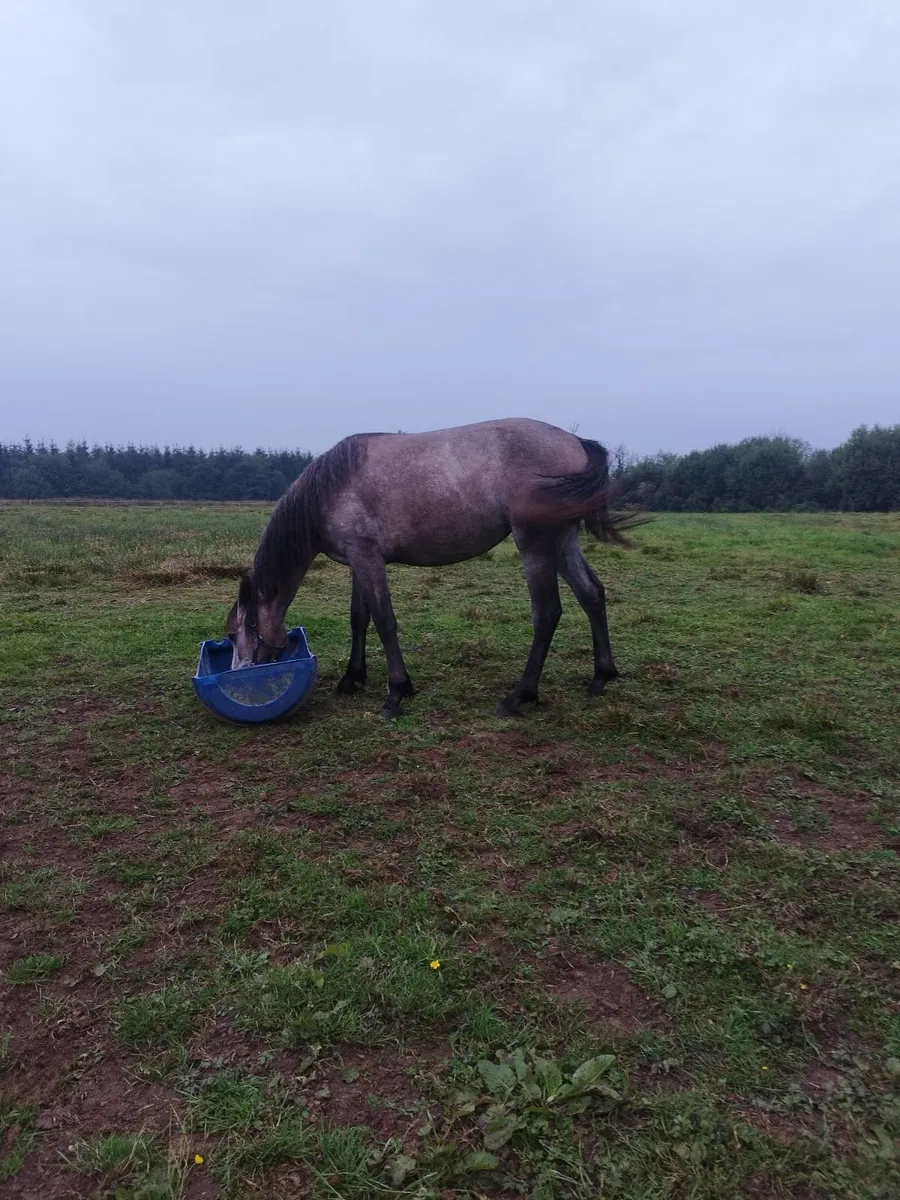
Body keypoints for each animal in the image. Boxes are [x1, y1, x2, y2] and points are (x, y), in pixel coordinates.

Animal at [226, 417, 636, 718]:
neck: (330, 488)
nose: (240, 676)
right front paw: (352, 679)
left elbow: (384, 621)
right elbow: (360, 618)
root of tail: (576, 442)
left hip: (536, 545)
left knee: (547, 612)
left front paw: (397, 693)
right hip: (563, 541)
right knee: (591, 594)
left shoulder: (368, 559)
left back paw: (519, 696)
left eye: (235, 633)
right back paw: (601, 677)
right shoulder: (359, 560)